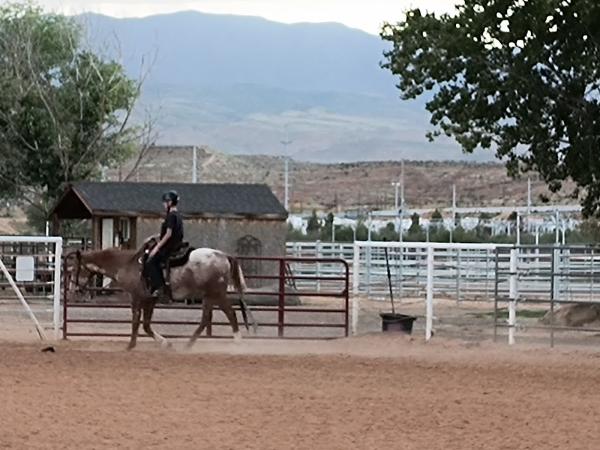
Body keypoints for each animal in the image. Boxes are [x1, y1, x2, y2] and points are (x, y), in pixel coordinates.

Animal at [66, 243, 258, 352]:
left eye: (75, 268)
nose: (73, 290)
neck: (127, 264)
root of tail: (224, 256)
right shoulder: (148, 300)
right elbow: (145, 325)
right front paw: (166, 344)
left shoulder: (139, 298)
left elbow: (138, 323)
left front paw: (130, 345)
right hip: (208, 296)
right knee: (205, 320)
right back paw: (188, 345)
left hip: (215, 294)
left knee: (230, 313)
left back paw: (237, 342)